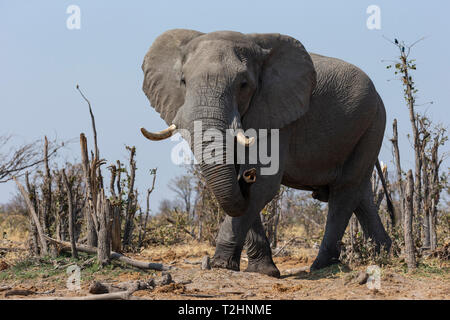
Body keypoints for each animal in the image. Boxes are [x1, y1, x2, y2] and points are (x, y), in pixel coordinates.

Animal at [141, 28, 394, 276]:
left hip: (371, 123)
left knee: (345, 191)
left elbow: (264, 184)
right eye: (183, 81)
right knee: (361, 194)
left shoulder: (276, 115)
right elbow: (244, 191)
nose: (247, 175)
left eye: (243, 84)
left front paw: (221, 265)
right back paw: (383, 255)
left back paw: (321, 266)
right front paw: (262, 271)